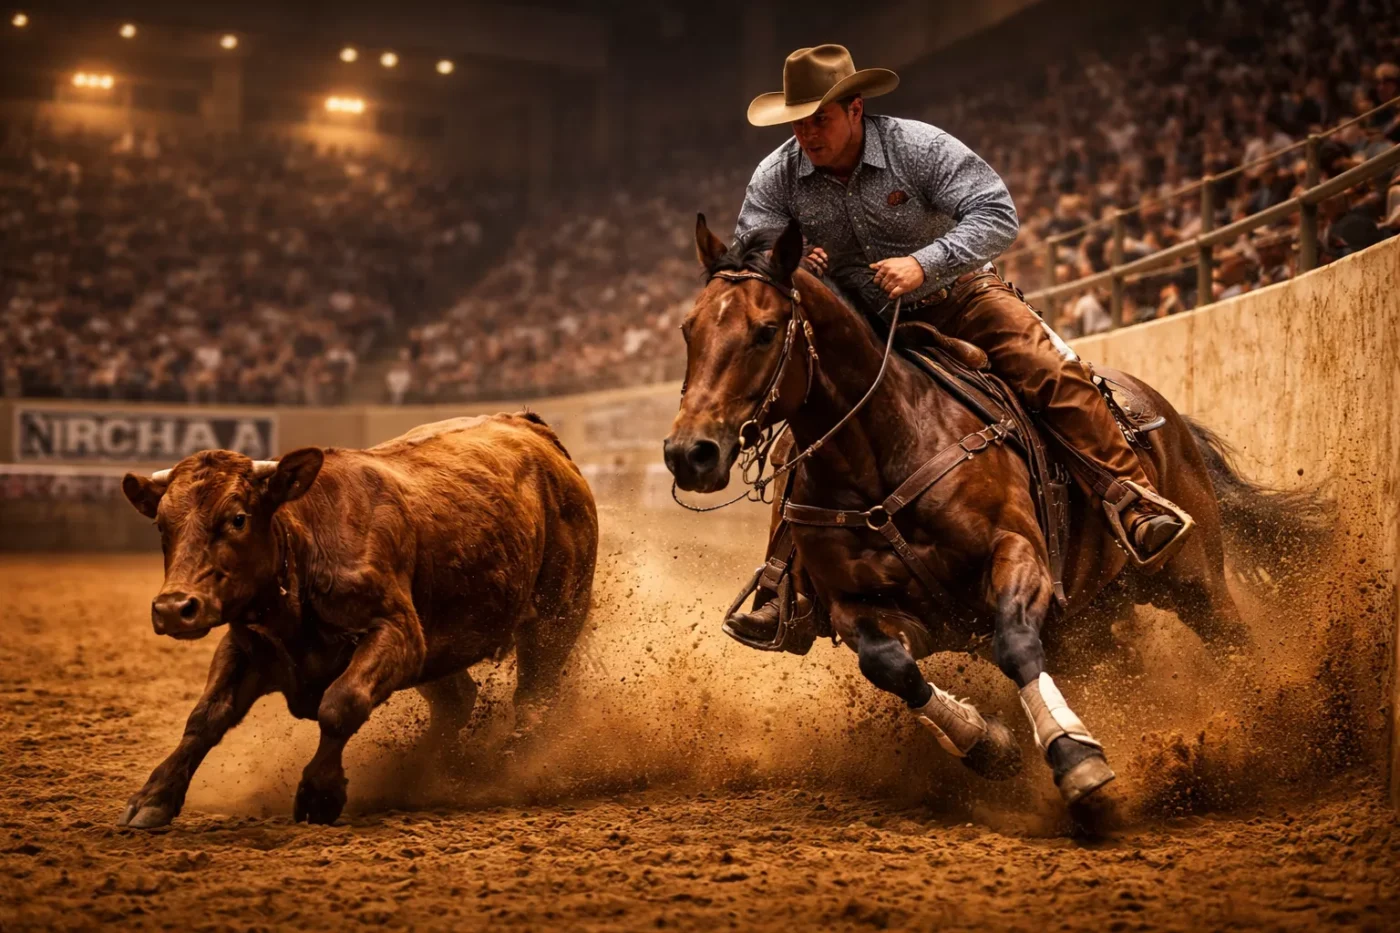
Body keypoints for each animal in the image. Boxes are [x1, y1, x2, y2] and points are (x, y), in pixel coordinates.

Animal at [116, 412, 598, 828]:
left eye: (238, 518)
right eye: (162, 525)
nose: (174, 608)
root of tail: (530, 427)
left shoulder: (398, 632)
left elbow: (340, 704)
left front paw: (319, 793)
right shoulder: (245, 646)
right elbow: (205, 718)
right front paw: (153, 797)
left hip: (557, 615)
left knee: (533, 699)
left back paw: (510, 766)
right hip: (442, 651)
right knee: (458, 701)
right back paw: (424, 768)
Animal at [664, 216, 1313, 808]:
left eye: (765, 331)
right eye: (688, 330)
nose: (689, 453)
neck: (886, 449)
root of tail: (1159, 413)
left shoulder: (1017, 552)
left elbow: (1015, 644)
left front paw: (1075, 757)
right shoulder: (861, 608)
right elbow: (890, 667)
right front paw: (988, 744)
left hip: (1193, 576)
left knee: (1230, 639)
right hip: (1091, 623)